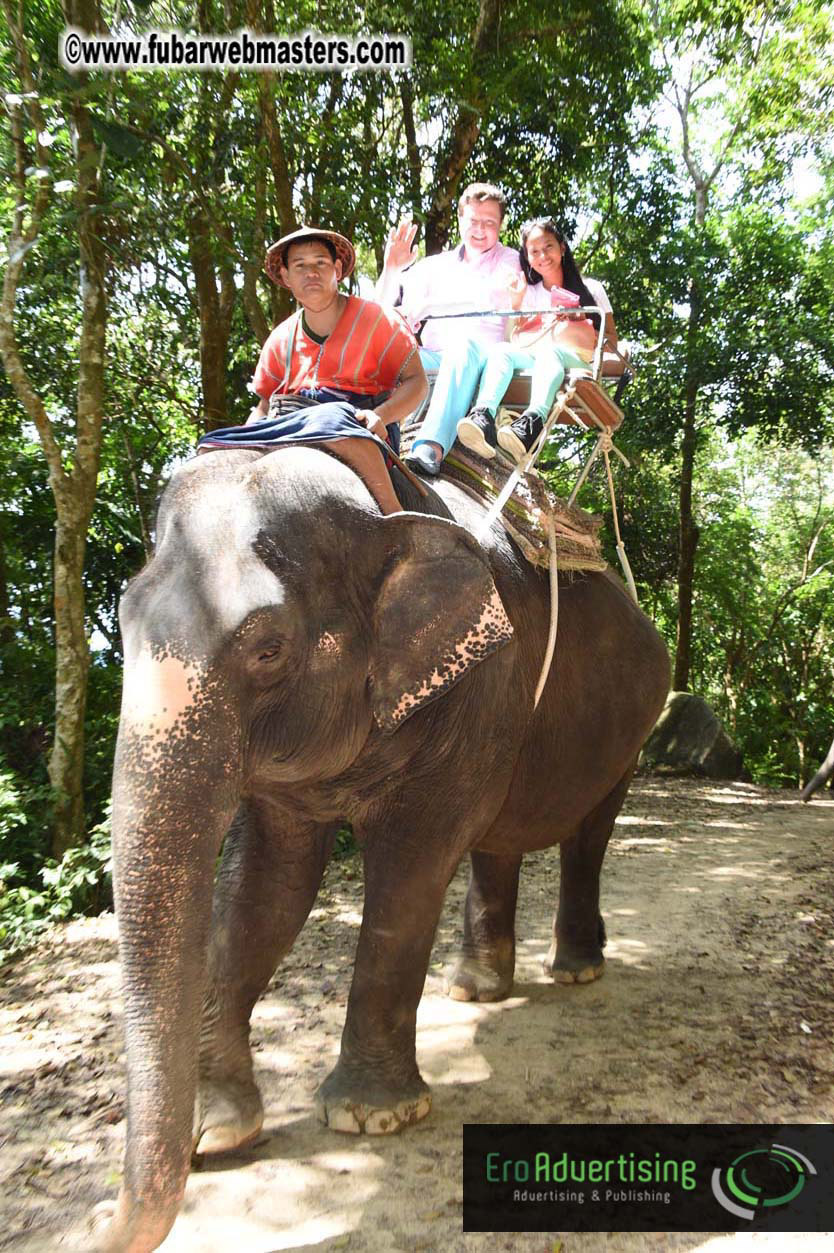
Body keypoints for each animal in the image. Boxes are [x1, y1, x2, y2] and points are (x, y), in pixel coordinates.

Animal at [102, 444, 670, 1251]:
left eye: (269, 649)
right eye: (120, 622)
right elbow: (265, 887)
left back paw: (576, 970)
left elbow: (409, 872)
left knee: (589, 832)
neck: (379, 511)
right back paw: (477, 989)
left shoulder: (479, 679)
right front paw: (221, 1133)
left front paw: (373, 1116)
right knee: (498, 838)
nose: (99, 1225)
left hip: (634, 723)